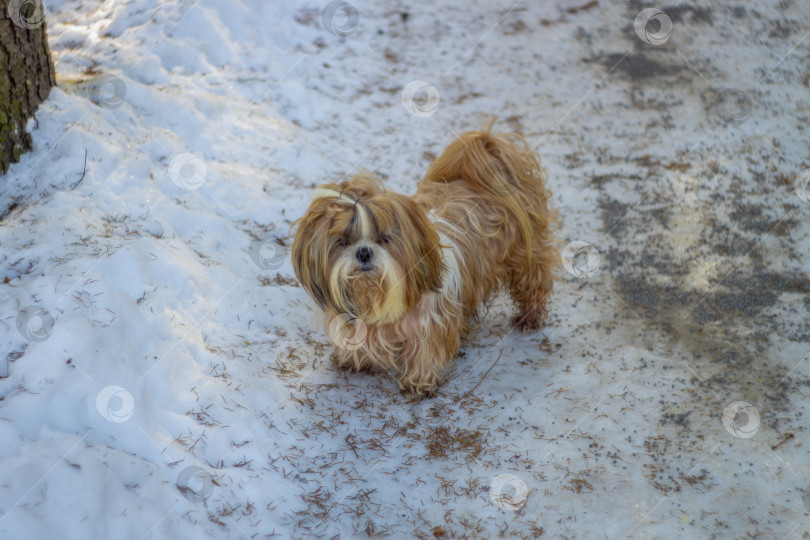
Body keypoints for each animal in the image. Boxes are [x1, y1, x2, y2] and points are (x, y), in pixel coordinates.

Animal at [292, 126, 560, 396]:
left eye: (384, 239)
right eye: (343, 241)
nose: (364, 252)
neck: (377, 296)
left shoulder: (431, 324)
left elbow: (426, 351)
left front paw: (418, 382)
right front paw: (352, 357)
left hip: (526, 255)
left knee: (536, 280)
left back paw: (529, 317)